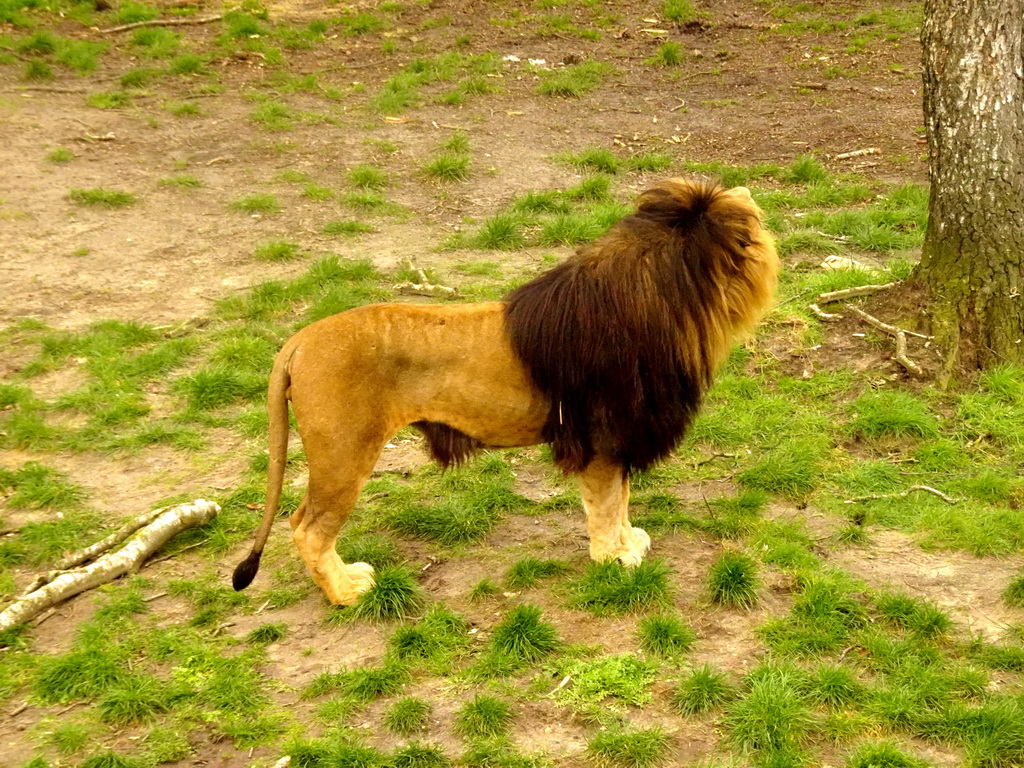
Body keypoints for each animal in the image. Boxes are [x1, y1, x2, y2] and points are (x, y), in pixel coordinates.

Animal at [232, 182, 774, 606]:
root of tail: (299, 340)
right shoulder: (600, 438)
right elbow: (604, 503)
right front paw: (613, 559)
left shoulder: (618, 438)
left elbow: (620, 500)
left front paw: (628, 543)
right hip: (344, 455)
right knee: (307, 528)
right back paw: (347, 591)